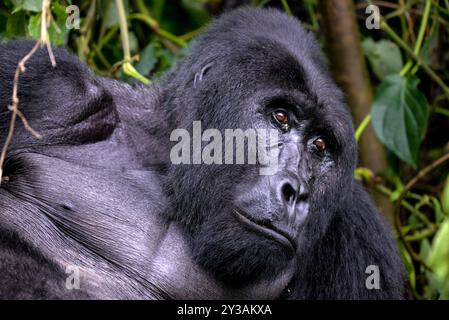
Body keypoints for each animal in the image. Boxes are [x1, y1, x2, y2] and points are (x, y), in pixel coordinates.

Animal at [0, 7, 404, 298]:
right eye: (281, 117)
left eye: (319, 145)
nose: (296, 191)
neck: (170, 170)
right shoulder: (51, 88)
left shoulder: (360, 238)